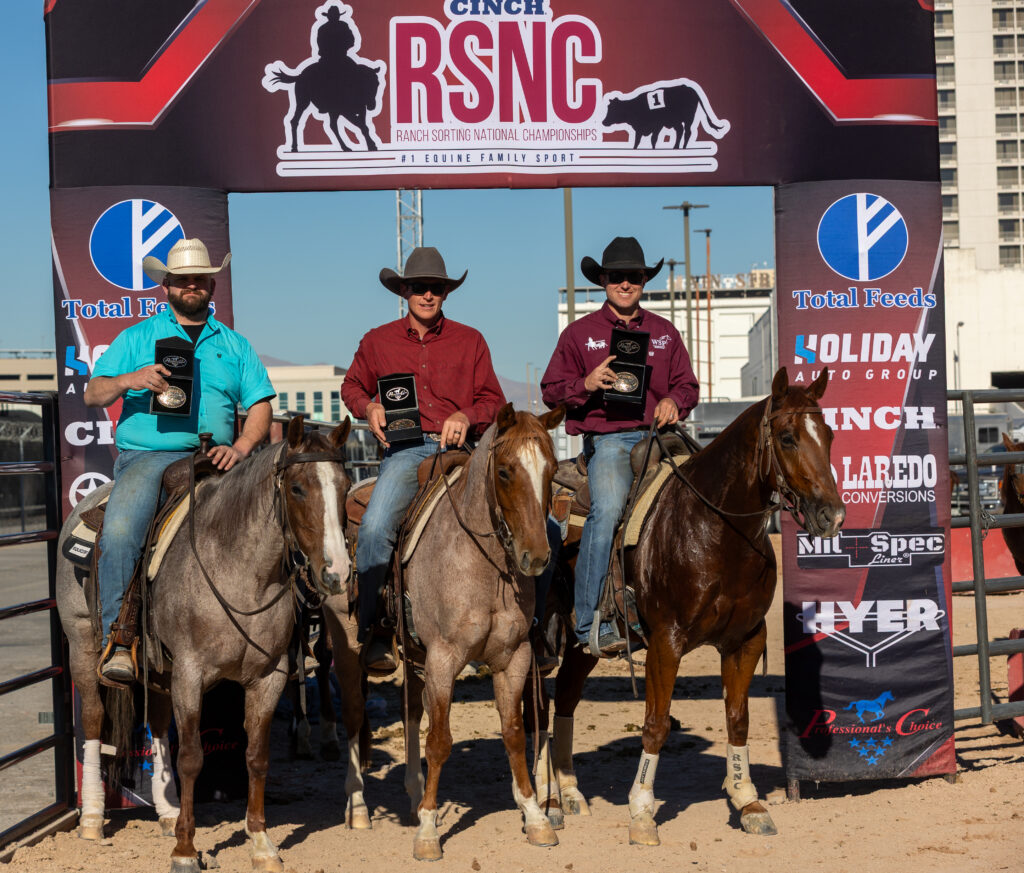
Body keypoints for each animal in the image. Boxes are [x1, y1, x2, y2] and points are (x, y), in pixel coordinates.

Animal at [56, 416, 351, 873]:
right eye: (298, 487)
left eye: (345, 483)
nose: (337, 572)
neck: (239, 570)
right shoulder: (191, 674)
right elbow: (192, 758)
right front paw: (185, 850)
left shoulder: (269, 677)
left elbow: (257, 756)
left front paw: (261, 843)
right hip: (83, 644)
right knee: (92, 718)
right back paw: (91, 817)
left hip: (160, 672)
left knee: (158, 725)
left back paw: (166, 811)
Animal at [389, 402, 565, 861]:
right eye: (504, 471)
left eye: (553, 468)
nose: (535, 557)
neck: (483, 566)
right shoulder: (443, 659)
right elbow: (439, 741)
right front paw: (428, 830)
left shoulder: (515, 657)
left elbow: (515, 733)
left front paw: (535, 814)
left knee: (413, 710)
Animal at [528, 367, 845, 845]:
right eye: (788, 437)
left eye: (828, 435)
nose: (832, 515)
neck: (715, 529)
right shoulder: (666, 642)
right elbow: (656, 722)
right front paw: (641, 811)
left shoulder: (746, 640)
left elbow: (737, 718)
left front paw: (748, 801)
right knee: (535, 708)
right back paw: (545, 804)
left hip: (585, 646)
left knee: (565, 695)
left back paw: (569, 794)